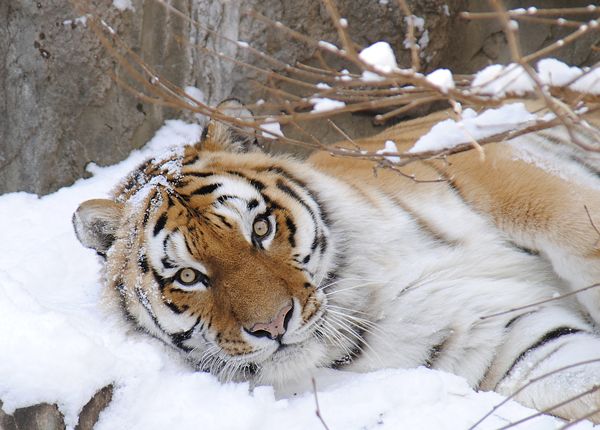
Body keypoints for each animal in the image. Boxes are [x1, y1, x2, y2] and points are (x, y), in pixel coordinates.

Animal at [75, 98, 600, 424]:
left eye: (259, 229)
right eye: (188, 276)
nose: (274, 325)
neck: (364, 288)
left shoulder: (497, 168)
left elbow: (578, 234)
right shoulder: (497, 336)